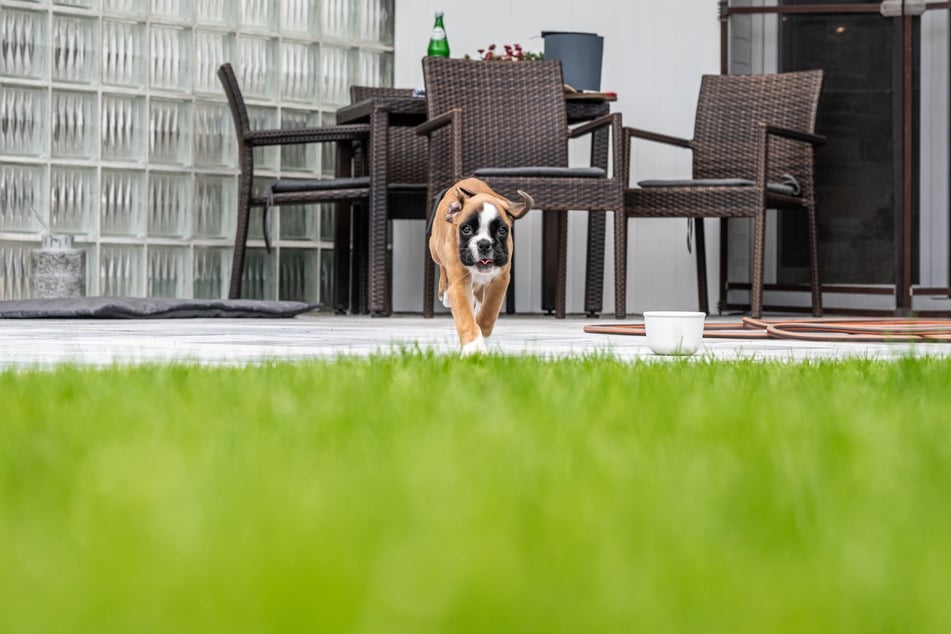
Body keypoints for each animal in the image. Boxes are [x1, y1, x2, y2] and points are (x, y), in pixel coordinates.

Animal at [432, 178, 536, 356]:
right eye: (466, 229)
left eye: (502, 230)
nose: (484, 244)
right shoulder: (460, 283)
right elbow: (466, 318)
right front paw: (473, 349)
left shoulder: (500, 281)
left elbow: (487, 315)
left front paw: (481, 338)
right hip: (434, 249)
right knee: (442, 267)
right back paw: (444, 291)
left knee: (479, 298)